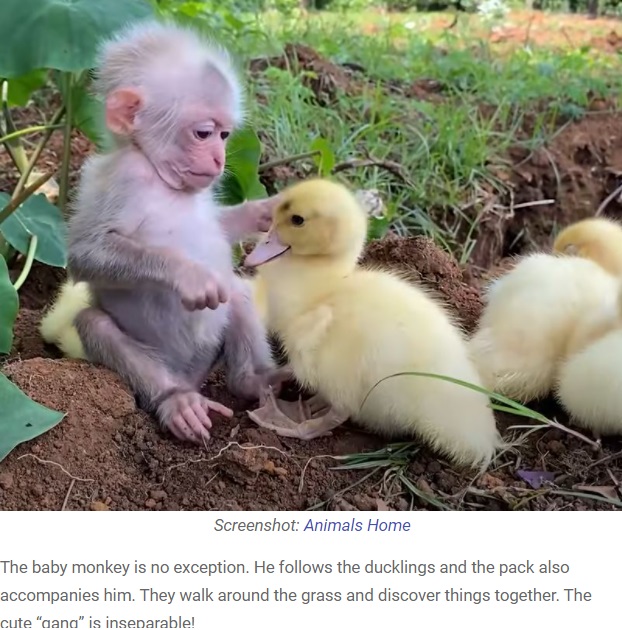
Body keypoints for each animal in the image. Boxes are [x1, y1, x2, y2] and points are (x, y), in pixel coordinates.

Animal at [67, 19, 282, 444]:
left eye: (225, 136)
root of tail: (190, 375)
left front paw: (264, 212)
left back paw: (255, 381)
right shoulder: (123, 178)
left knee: (237, 289)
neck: (159, 176)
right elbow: (84, 254)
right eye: (203, 133)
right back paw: (176, 401)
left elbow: (220, 229)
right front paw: (188, 274)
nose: (218, 160)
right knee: (94, 323)